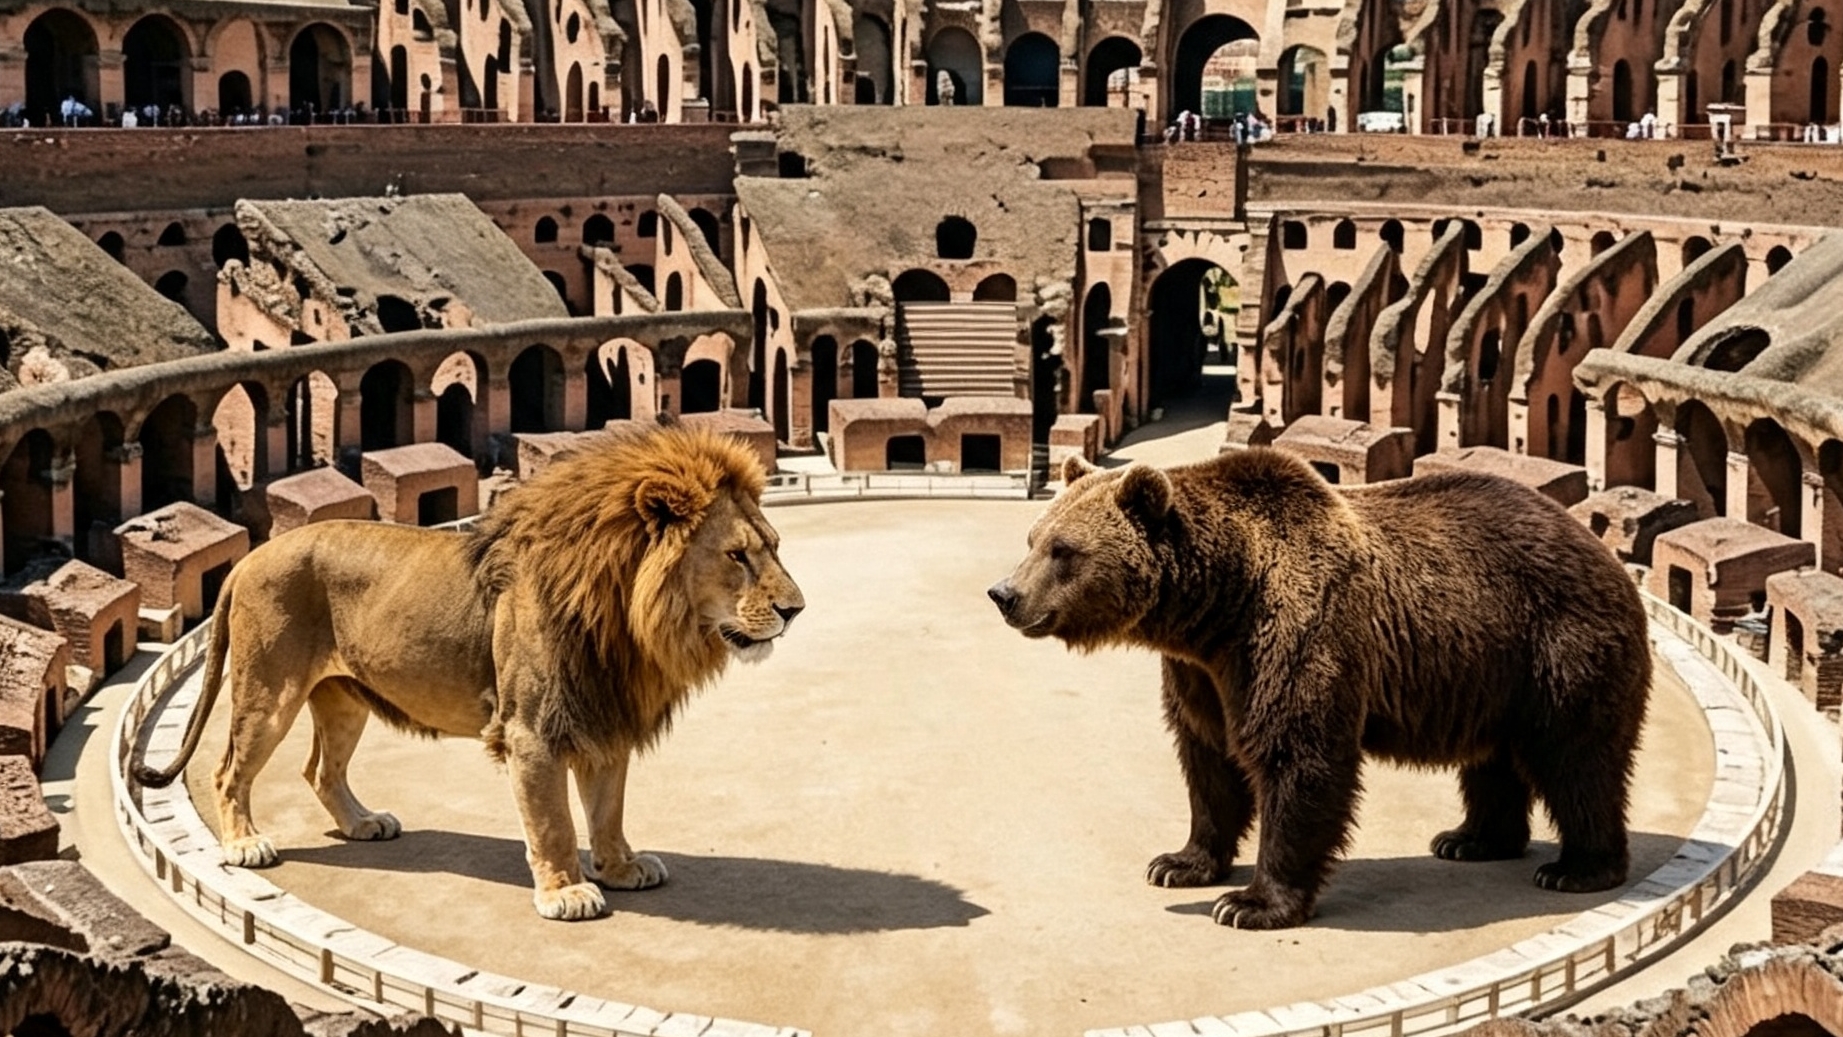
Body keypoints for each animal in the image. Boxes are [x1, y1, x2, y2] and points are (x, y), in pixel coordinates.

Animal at [134, 424, 805, 921]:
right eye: (737, 555)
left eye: (774, 546)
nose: (795, 610)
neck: (625, 618)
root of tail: (249, 559)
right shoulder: (533, 732)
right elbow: (554, 821)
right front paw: (567, 892)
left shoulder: (602, 717)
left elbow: (607, 808)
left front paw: (619, 867)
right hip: (269, 693)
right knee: (228, 770)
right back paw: (245, 843)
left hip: (344, 697)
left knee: (321, 770)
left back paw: (363, 823)